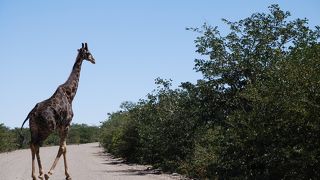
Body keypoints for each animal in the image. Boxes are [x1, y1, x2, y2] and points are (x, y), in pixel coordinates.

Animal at [19, 42, 95, 180]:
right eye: (88, 52)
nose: (94, 60)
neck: (70, 94)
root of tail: (31, 114)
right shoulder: (67, 124)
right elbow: (63, 148)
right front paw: (56, 174)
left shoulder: (61, 127)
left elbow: (63, 147)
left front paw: (63, 174)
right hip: (47, 129)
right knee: (36, 145)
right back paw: (41, 173)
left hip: (34, 128)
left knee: (33, 145)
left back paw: (36, 174)